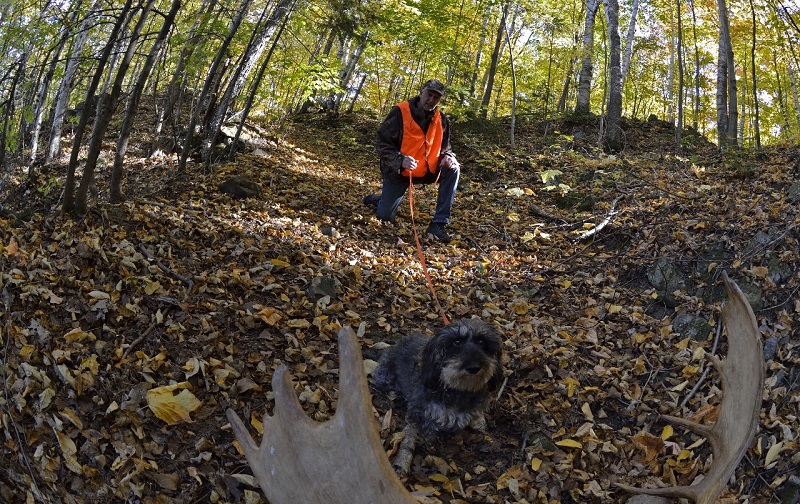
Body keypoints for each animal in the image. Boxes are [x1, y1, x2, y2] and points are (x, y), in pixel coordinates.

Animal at [374, 318, 500, 476]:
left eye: (482, 341)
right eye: (456, 342)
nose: (473, 368)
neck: (459, 389)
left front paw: (481, 425)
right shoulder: (422, 413)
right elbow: (428, 431)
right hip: (386, 377)